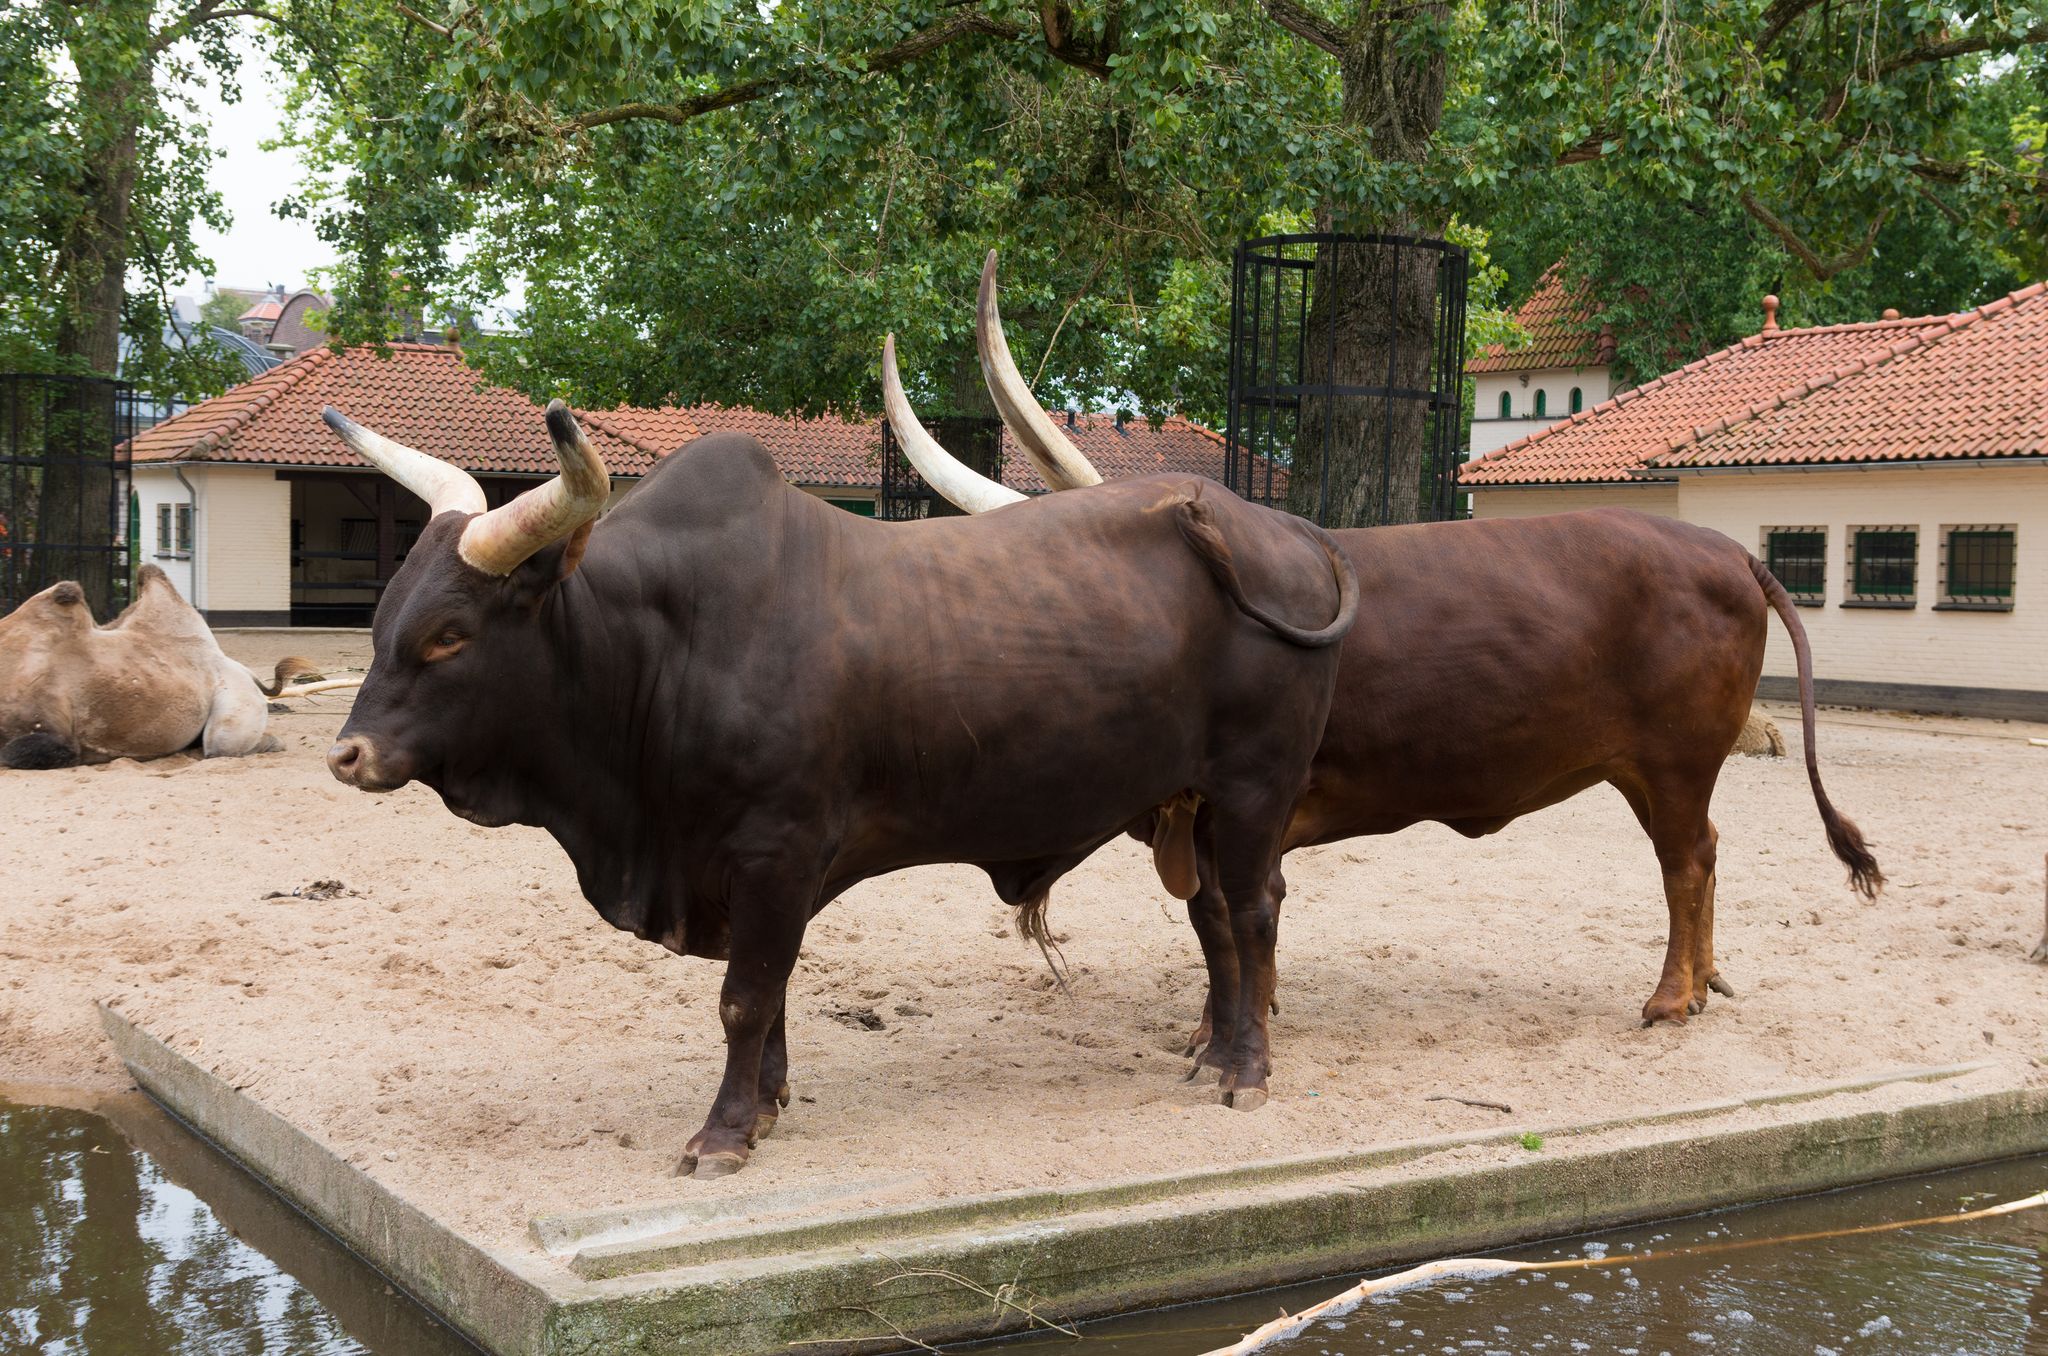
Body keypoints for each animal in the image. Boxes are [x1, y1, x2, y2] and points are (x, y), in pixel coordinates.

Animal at [0, 565, 315, 768]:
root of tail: (241, 668)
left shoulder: (50, 724)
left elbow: (17, 753)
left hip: (236, 700)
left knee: (221, 747)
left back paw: (272, 743)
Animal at [317, 396, 1357, 1176]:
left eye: (450, 633)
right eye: (383, 615)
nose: (349, 755)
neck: (665, 643)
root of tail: (1282, 530)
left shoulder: (773, 853)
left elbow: (744, 996)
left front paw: (723, 1133)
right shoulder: (746, 873)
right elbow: (771, 993)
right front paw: (768, 1105)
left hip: (1253, 789)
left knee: (1255, 914)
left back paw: (1246, 1072)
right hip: (1194, 805)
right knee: (1216, 918)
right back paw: (1217, 1053)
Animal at [890, 252, 1882, 1085]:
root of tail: (1726, 549)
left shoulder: (1248, 812)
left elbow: (1239, 919)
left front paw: (1234, 1040)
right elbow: (1217, 925)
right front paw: (1219, 1031)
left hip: (1675, 758)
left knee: (1686, 859)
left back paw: (1672, 996)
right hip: (1646, 766)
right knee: (1704, 855)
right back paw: (1708, 983)